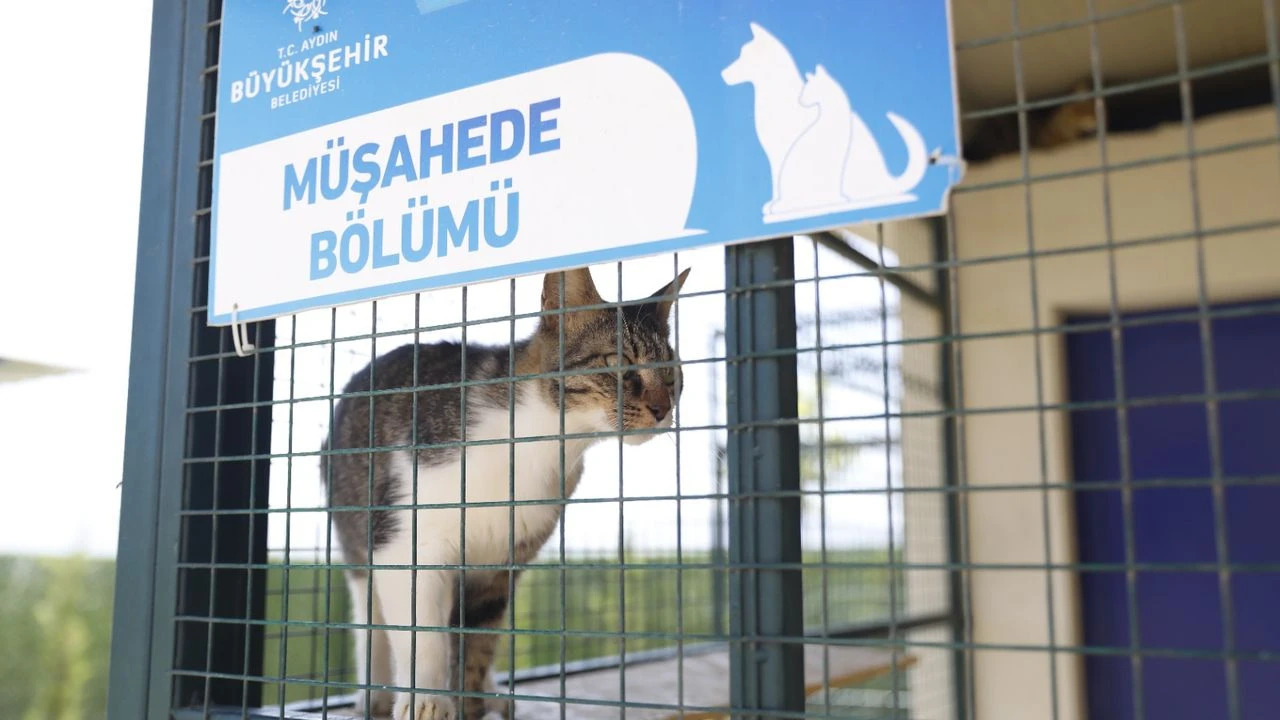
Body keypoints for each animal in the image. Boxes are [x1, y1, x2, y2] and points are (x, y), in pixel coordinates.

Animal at [325, 267, 696, 717]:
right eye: (618, 362)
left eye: (672, 373)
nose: (663, 409)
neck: (539, 444)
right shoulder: (407, 542)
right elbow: (421, 635)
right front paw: (427, 700)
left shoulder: (503, 561)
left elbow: (478, 639)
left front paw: (470, 700)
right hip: (355, 531)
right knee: (370, 615)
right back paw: (375, 693)